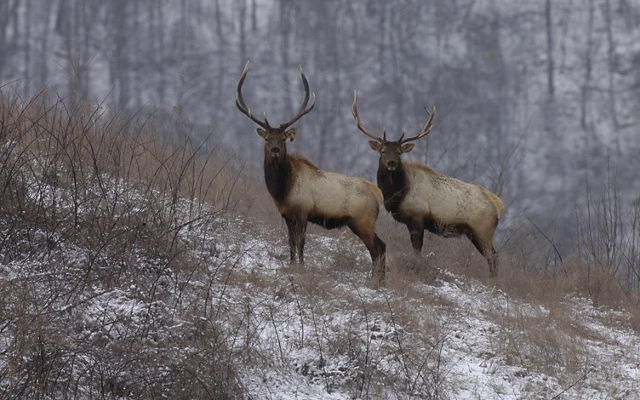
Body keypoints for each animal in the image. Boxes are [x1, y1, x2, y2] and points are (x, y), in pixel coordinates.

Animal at [235, 63, 384, 284]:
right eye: (268, 138)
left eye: (283, 138)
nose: (275, 150)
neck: (283, 190)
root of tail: (378, 194)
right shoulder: (287, 213)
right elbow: (290, 242)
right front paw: (291, 265)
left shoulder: (304, 211)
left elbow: (301, 242)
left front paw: (301, 267)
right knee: (381, 246)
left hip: (363, 220)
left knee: (377, 248)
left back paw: (375, 281)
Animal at [350, 92, 504, 276]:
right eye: (383, 151)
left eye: (399, 152)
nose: (392, 163)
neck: (397, 193)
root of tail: (498, 205)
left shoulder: (418, 216)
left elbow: (417, 249)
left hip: (482, 230)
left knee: (493, 256)